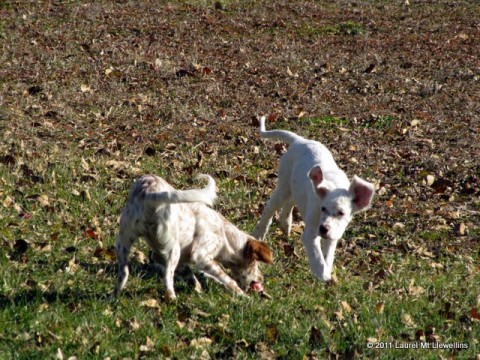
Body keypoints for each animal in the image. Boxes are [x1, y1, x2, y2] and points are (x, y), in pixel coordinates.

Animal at [112, 173, 270, 300]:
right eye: (255, 263)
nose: (262, 279)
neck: (225, 234)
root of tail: (150, 193)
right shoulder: (200, 256)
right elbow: (227, 279)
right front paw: (243, 296)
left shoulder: (168, 256)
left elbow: (189, 273)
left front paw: (197, 288)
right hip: (173, 249)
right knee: (168, 277)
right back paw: (172, 298)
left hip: (123, 242)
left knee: (124, 273)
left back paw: (113, 296)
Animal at [251, 116, 376, 282]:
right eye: (323, 208)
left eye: (341, 213)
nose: (323, 229)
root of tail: (300, 140)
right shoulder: (311, 234)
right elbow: (317, 258)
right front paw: (324, 277)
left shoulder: (333, 235)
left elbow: (327, 257)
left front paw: (327, 273)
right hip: (283, 186)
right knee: (270, 209)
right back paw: (258, 234)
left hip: (295, 188)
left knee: (290, 202)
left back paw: (285, 224)